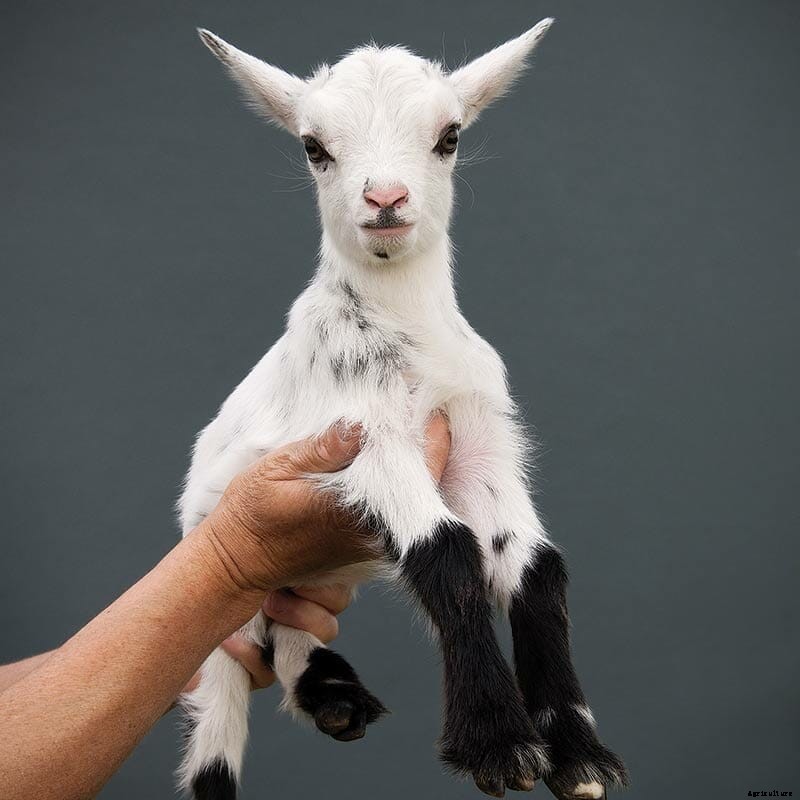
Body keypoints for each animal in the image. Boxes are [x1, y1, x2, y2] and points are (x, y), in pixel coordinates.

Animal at [178, 20, 628, 800]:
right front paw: (498, 743)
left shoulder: (480, 439)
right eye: (314, 147)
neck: (410, 331)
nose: (384, 198)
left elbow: (537, 569)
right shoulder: (367, 439)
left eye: (449, 135)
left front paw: (577, 755)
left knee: (287, 626)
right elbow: (445, 551)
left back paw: (332, 695)